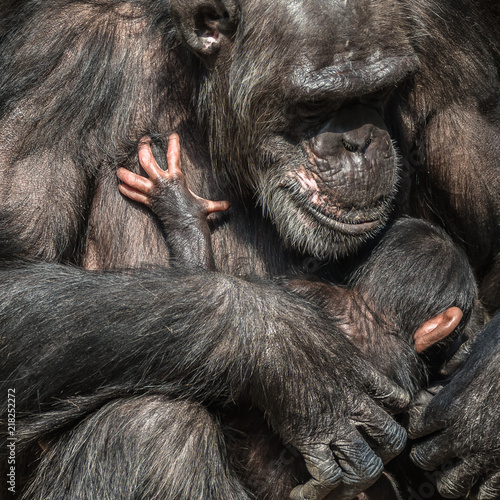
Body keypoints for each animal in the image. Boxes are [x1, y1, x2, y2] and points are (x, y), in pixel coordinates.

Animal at [0, 0, 498, 498]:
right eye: (314, 105)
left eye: (380, 92)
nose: (358, 142)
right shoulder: (54, 62)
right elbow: (14, 275)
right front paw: (292, 353)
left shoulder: (452, 45)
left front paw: (478, 409)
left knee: (148, 427)